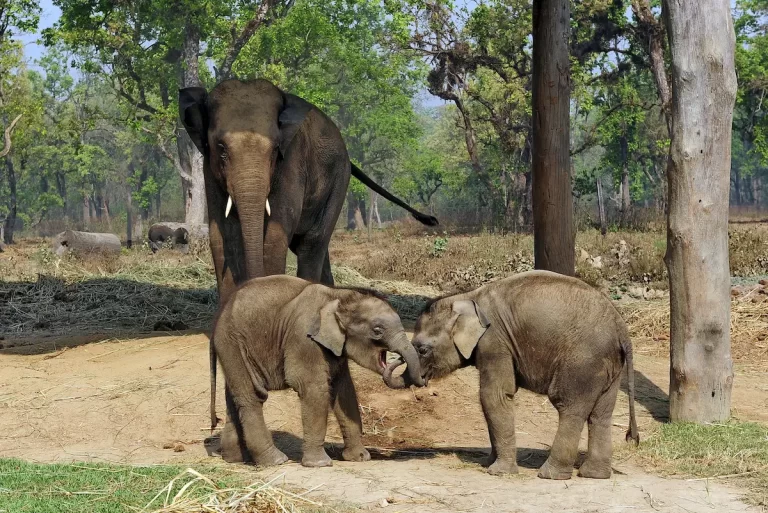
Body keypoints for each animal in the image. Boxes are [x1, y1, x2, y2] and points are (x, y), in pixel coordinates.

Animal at [210, 275, 425, 467]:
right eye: (377, 330)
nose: (400, 358)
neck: (338, 295)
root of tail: (219, 315)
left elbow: (344, 391)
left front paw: (360, 458)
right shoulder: (304, 339)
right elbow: (315, 389)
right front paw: (320, 464)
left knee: (235, 398)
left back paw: (235, 458)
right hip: (233, 343)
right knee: (252, 397)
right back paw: (275, 461)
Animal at [384, 270, 639, 480]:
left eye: (422, 349)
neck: (469, 296)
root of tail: (621, 328)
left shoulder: (495, 341)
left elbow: (493, 396)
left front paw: (498, 471)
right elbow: (489, 399)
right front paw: (486, 462)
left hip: (582, 362)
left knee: (569, 408)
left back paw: (550, 475)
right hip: (610, 367)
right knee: (601, 414)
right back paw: (594, 475)